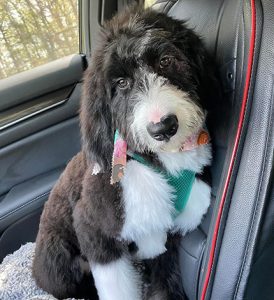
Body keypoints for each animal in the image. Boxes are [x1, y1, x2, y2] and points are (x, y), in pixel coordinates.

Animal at [32, 5, 216, 300]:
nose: (163, 127)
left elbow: (165, 278)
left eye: (166, 61)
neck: (159, 162)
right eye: (121, 82)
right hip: (56, 265)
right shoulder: (94, 231)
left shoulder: (169, 237)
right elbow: (118, 287)